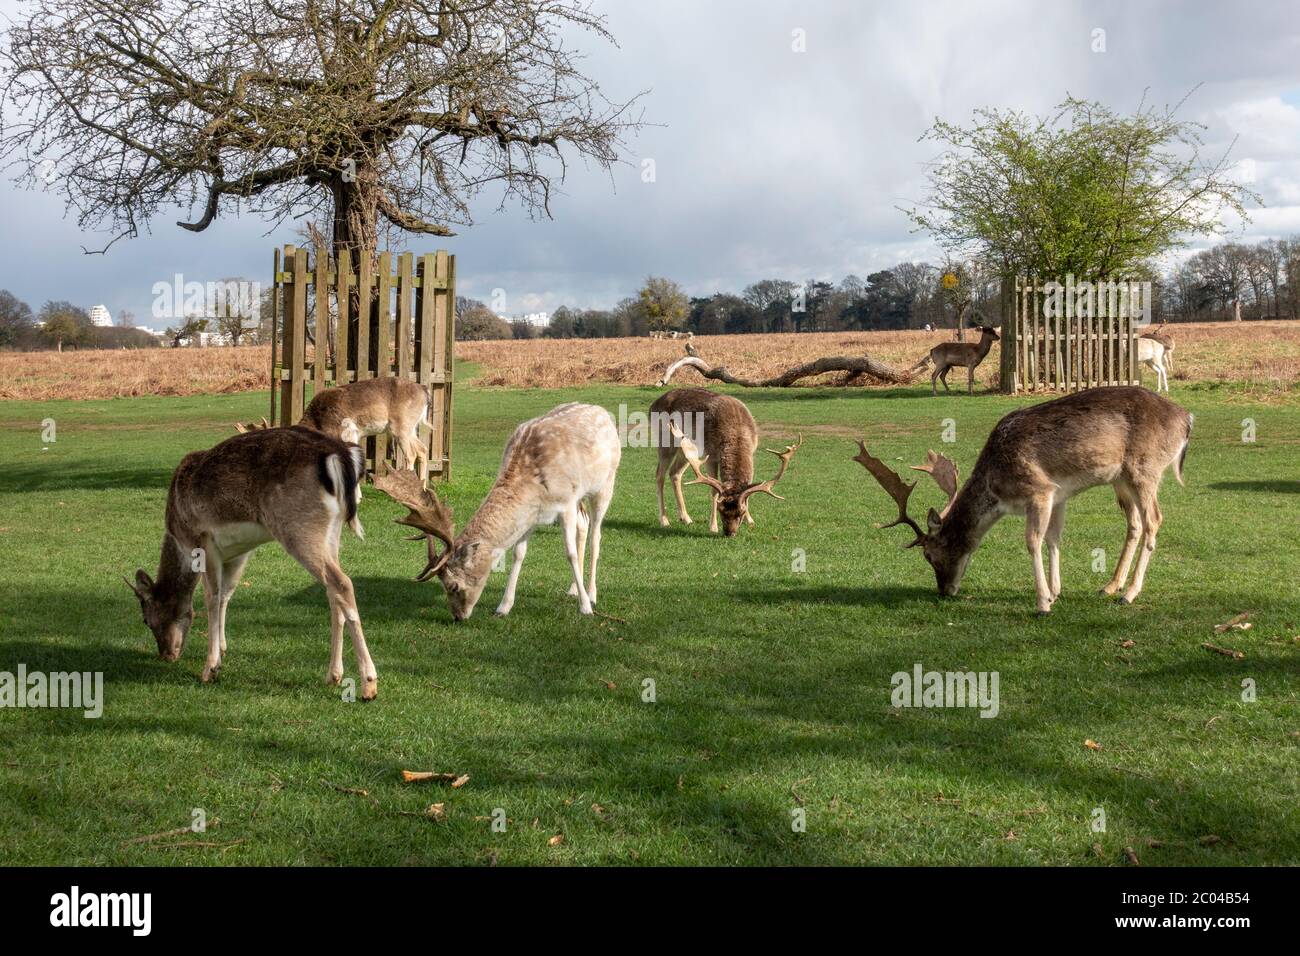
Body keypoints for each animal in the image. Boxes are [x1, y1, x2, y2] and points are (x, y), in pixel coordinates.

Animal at [124, 426, 379, 697]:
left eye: (146, 619)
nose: (166, 655)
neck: (178, 536)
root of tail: (340, 455)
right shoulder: (238, 553)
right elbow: (226, 594)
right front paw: (223, 650)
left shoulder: (204, 540)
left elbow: (212, 597)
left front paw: (210, 668)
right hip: (331, 533)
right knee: (332, 590)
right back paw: (334, 675)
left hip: (298, 526)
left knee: (342, 583)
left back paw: (368, 683)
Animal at [237, 374, 431, 476]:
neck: (318, 423)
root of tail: (424, 391)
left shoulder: (348, 433)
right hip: (410, 428)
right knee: (423, 449)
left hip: (401, 426)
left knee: (411, 454)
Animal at [374, 403, 621, 621]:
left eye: (453, 586)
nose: (457, 617)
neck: (533, 488)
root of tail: (603, 412)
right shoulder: (533, 513)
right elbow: (518, 553)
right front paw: (503, 607)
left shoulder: (566, 501)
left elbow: (569, 553)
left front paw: (585, 608)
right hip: (582, 498)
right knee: (584, 524)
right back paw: (572, 589)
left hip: (605, 484)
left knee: (596, 534)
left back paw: (591, 593)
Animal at [650, 390, 800, 538]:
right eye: (720, 509)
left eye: (741, 512)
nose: (729, 533)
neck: (737, 430)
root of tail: (652, 405)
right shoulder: (710, 455)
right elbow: (714, 491)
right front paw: (713, 527)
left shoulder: (752, 451)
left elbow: (748, 490)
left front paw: (750, 520)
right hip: (664, 440)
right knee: (659, 475)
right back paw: (664, 520)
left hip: (686, 447)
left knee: (675, 473)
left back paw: (686, 518)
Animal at [857, 387, 1190, 613]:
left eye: (928, 555)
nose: (944, 591)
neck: (997, 486)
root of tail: (1186, 418)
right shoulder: (1059, 493)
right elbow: (1054, 538)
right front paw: (1056, 591)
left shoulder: (1038, 490)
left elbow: (1033, 541)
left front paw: (1043, 603)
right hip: (1120, 480)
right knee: (1134, 523)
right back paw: (1110, 586)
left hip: (1144, 469)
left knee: (1154, 520)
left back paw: (1129, 593)